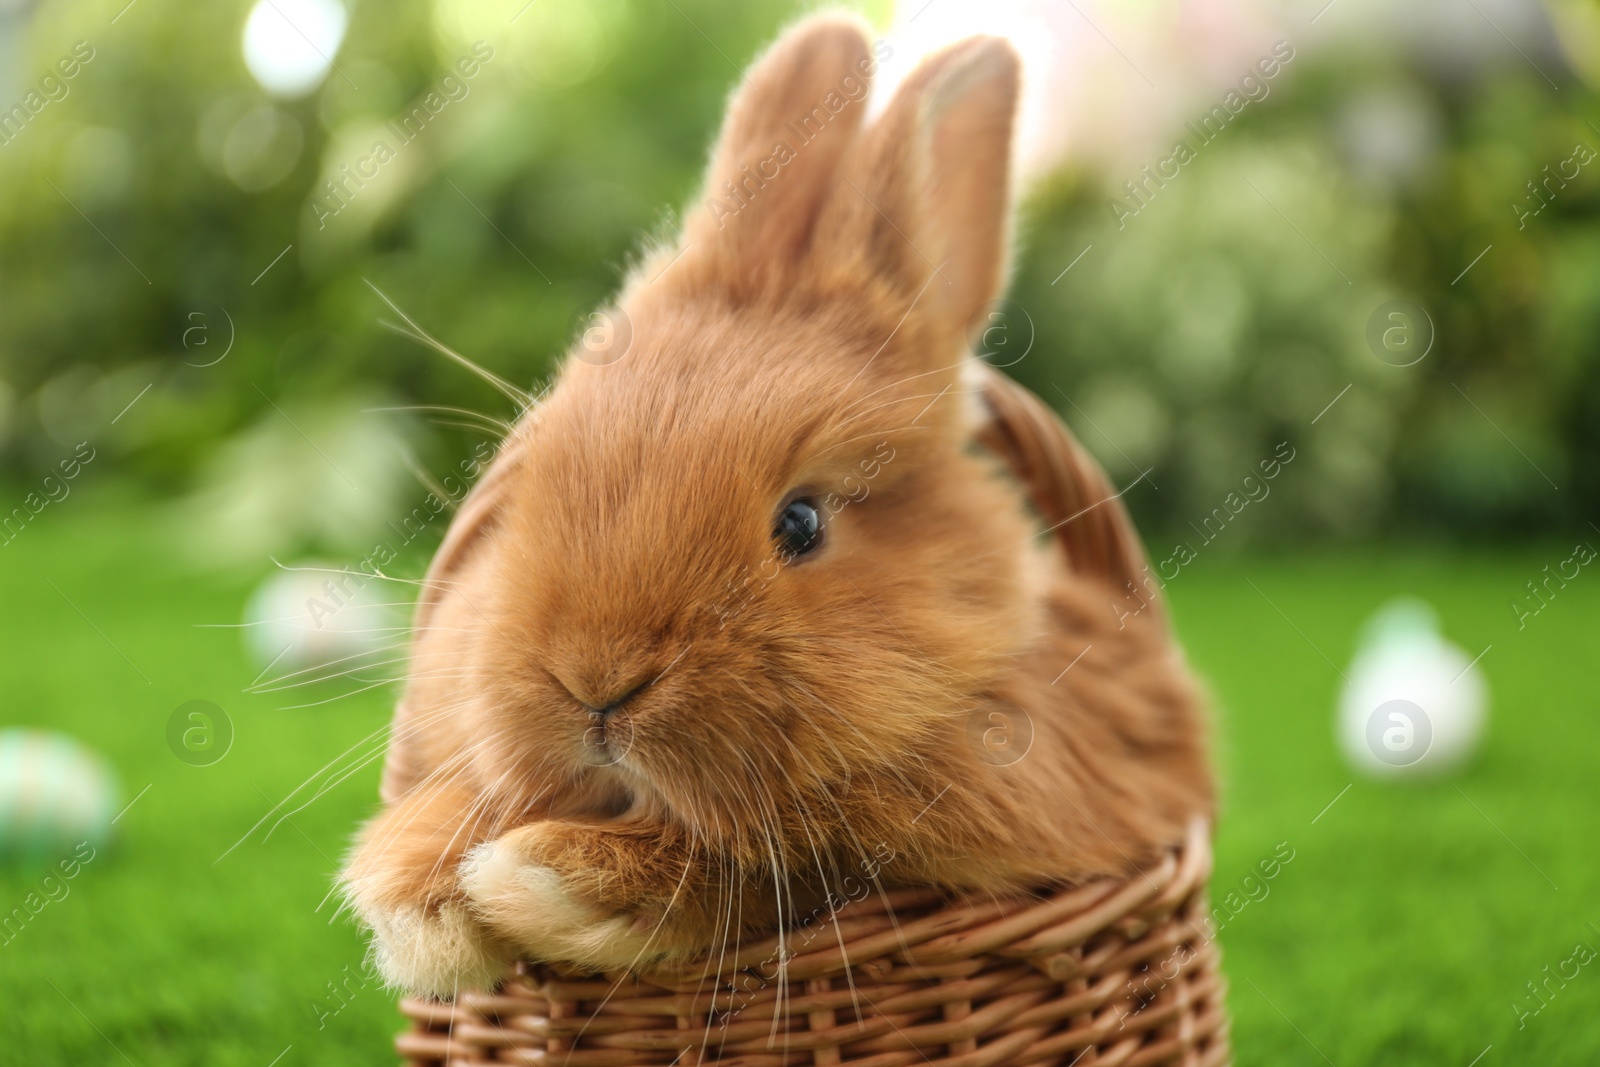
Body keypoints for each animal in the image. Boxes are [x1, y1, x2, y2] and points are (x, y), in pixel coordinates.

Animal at [340, 10, 1209, 1004]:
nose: (596, 680)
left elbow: (766, 870)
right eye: (526, 489)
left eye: (801, 522)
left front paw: (539, 879)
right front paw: (417, 892)